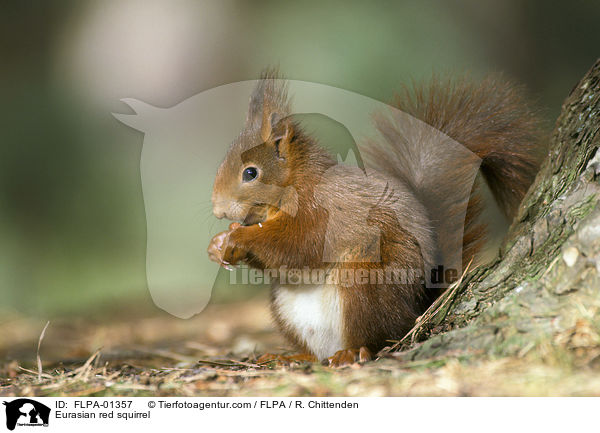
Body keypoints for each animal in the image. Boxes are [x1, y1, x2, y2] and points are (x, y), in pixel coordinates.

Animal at [209, 70, 548, 364]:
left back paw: (352, 352)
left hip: (366, 283)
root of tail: (419, 307)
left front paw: (238, 237)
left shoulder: (325, 211)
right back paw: (292, 357)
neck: (297, 183)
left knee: (377, 338)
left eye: (250, 173)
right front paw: (219, 244)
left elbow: (299, 245)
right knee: (317, 352)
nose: (217, 210)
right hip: (287, 308)